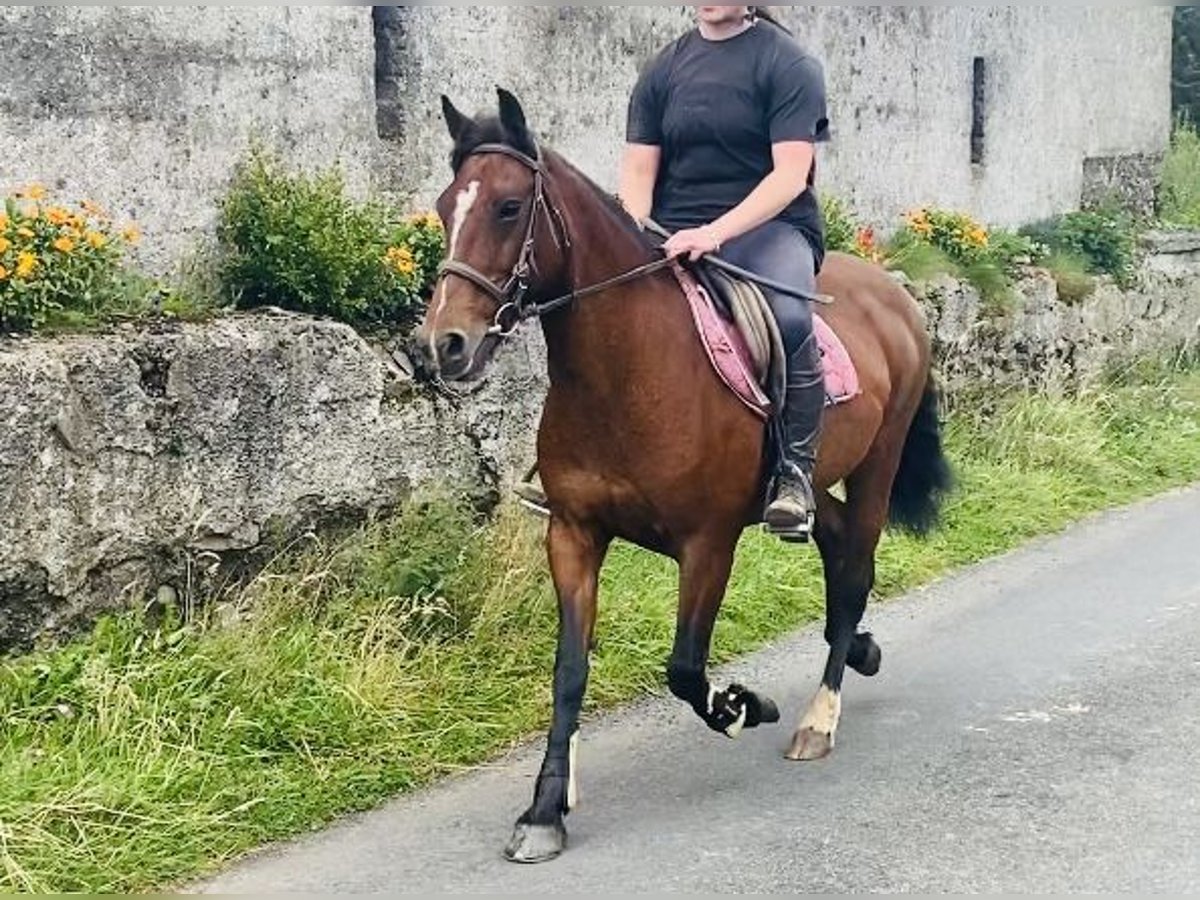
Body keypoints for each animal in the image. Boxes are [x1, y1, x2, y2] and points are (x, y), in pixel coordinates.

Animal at [417, 91, 950, 868]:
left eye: (510, 207)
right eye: (443, 206)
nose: (443, 345)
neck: (625, 371)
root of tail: (894, 293)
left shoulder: (708, 543)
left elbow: (685, 668)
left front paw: (742, 707)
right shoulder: (574, 534)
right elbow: (569, 671)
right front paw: (546, 809)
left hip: (877, 466)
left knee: (853, 571)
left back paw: (818, 718)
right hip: (808, 483)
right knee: (834, 544)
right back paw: (859, 649)